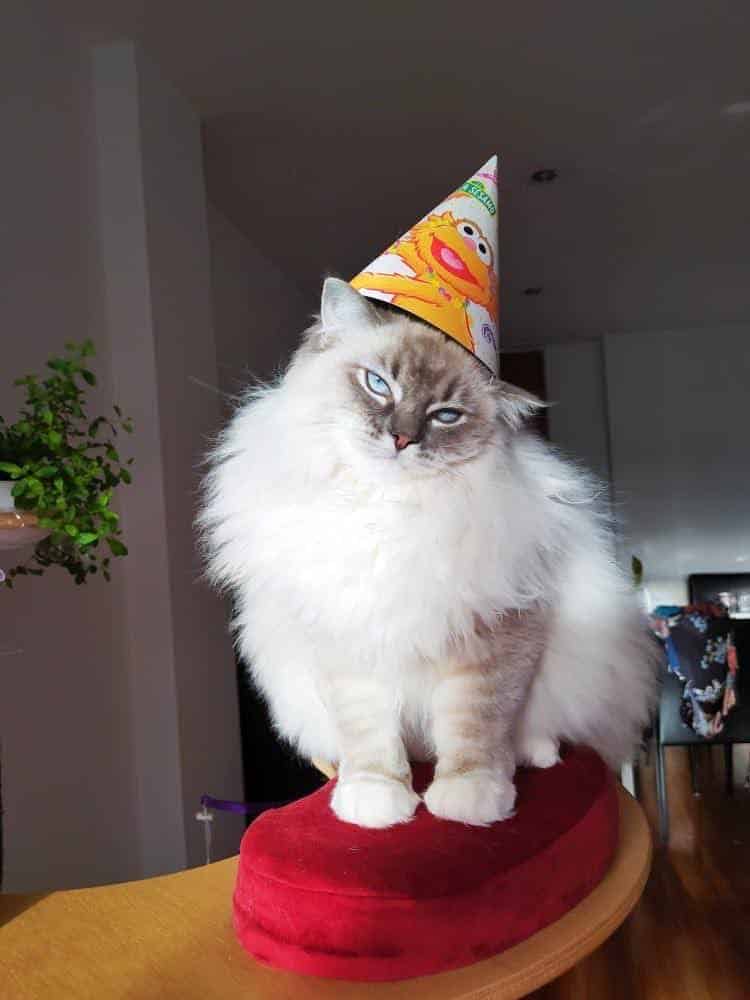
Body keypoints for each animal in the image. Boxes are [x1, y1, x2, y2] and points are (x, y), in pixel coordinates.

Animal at [199, 277, 657, 829]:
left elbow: (475, 724)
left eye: (446, 416)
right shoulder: (346, 639)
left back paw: (533, 755)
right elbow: (369, 734)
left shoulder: (495, 635)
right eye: (378, 385)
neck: (389, 514)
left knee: (535, 728)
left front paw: (469, 799)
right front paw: (376, 801)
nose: (401, 438)